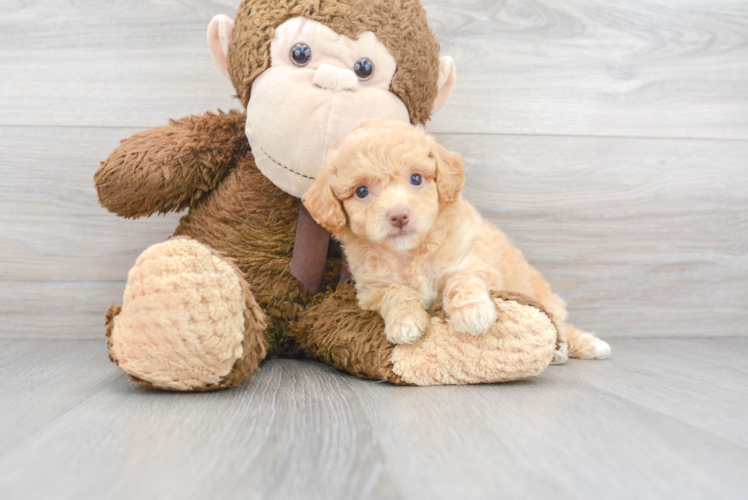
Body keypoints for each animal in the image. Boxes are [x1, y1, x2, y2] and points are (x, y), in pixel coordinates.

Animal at [300, 121, 612, 364]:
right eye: (362, 191)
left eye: (416, 179)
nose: (399, 215)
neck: (410, 252)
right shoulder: (372, 289)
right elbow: (396, 293)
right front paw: (405, 322)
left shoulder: (475, 261)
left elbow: (461, 280)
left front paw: (472, 312)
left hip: (546, 299)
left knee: (561, 326)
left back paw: (575, 348)